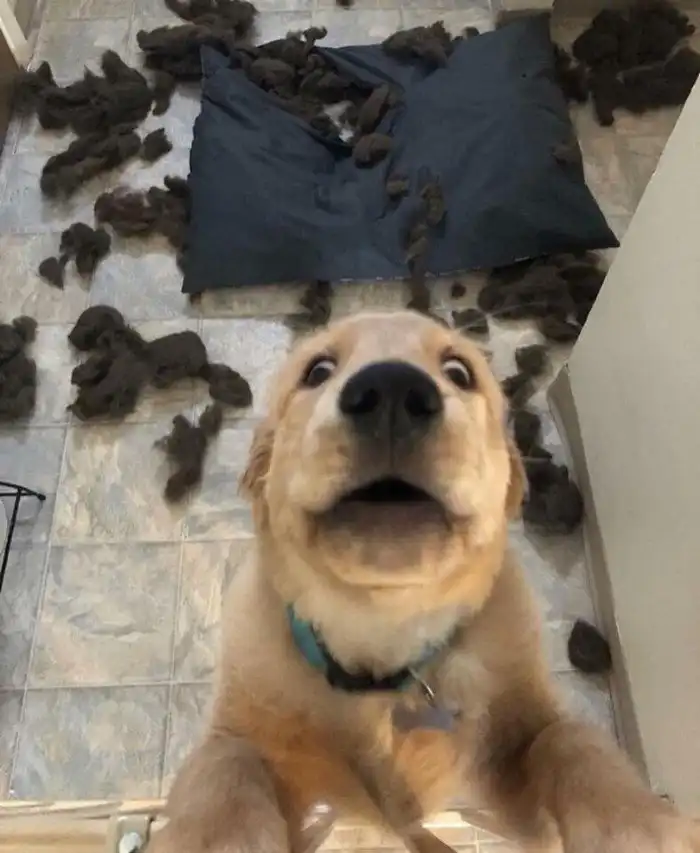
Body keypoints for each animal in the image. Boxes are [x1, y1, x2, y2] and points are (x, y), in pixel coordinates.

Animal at [149, 311, 699, 853]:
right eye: (317, 370)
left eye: (459, 372)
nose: (392, 390)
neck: (381, 641)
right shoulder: (256, 727)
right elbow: (225, 764)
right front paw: (215, 835)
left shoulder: (514, 765)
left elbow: (567, 739)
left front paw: (636, 822)